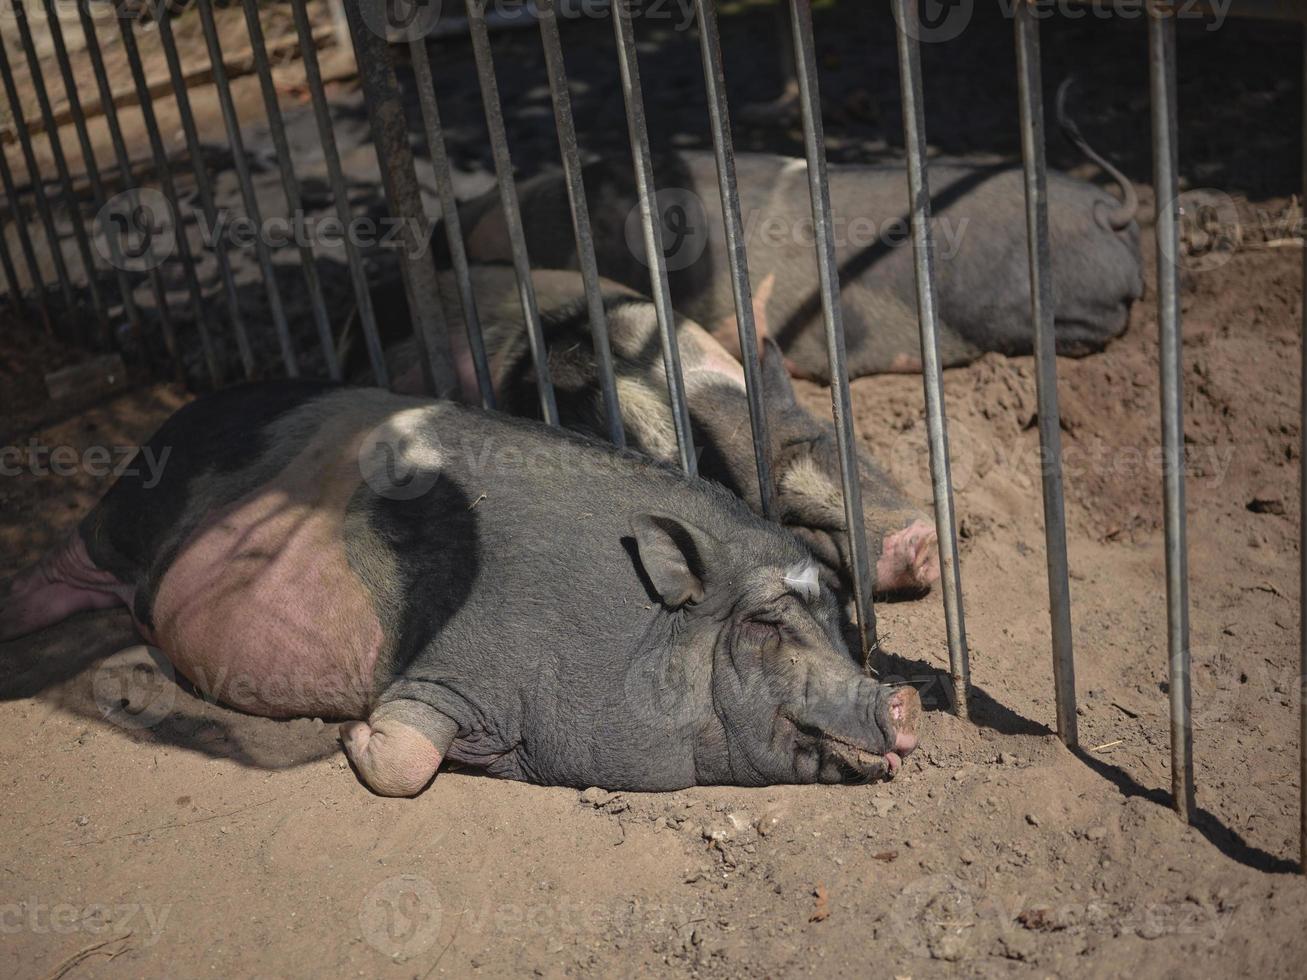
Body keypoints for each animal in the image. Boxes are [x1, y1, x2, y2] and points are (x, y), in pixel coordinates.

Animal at [0, 384, 920, 799]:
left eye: (840, 621)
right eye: (765, 623)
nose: (901, 699)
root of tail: (191, 402)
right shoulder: (448, 663)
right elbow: (404, 762)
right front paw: (347, 734)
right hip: (132, 505)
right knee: (68, 557)